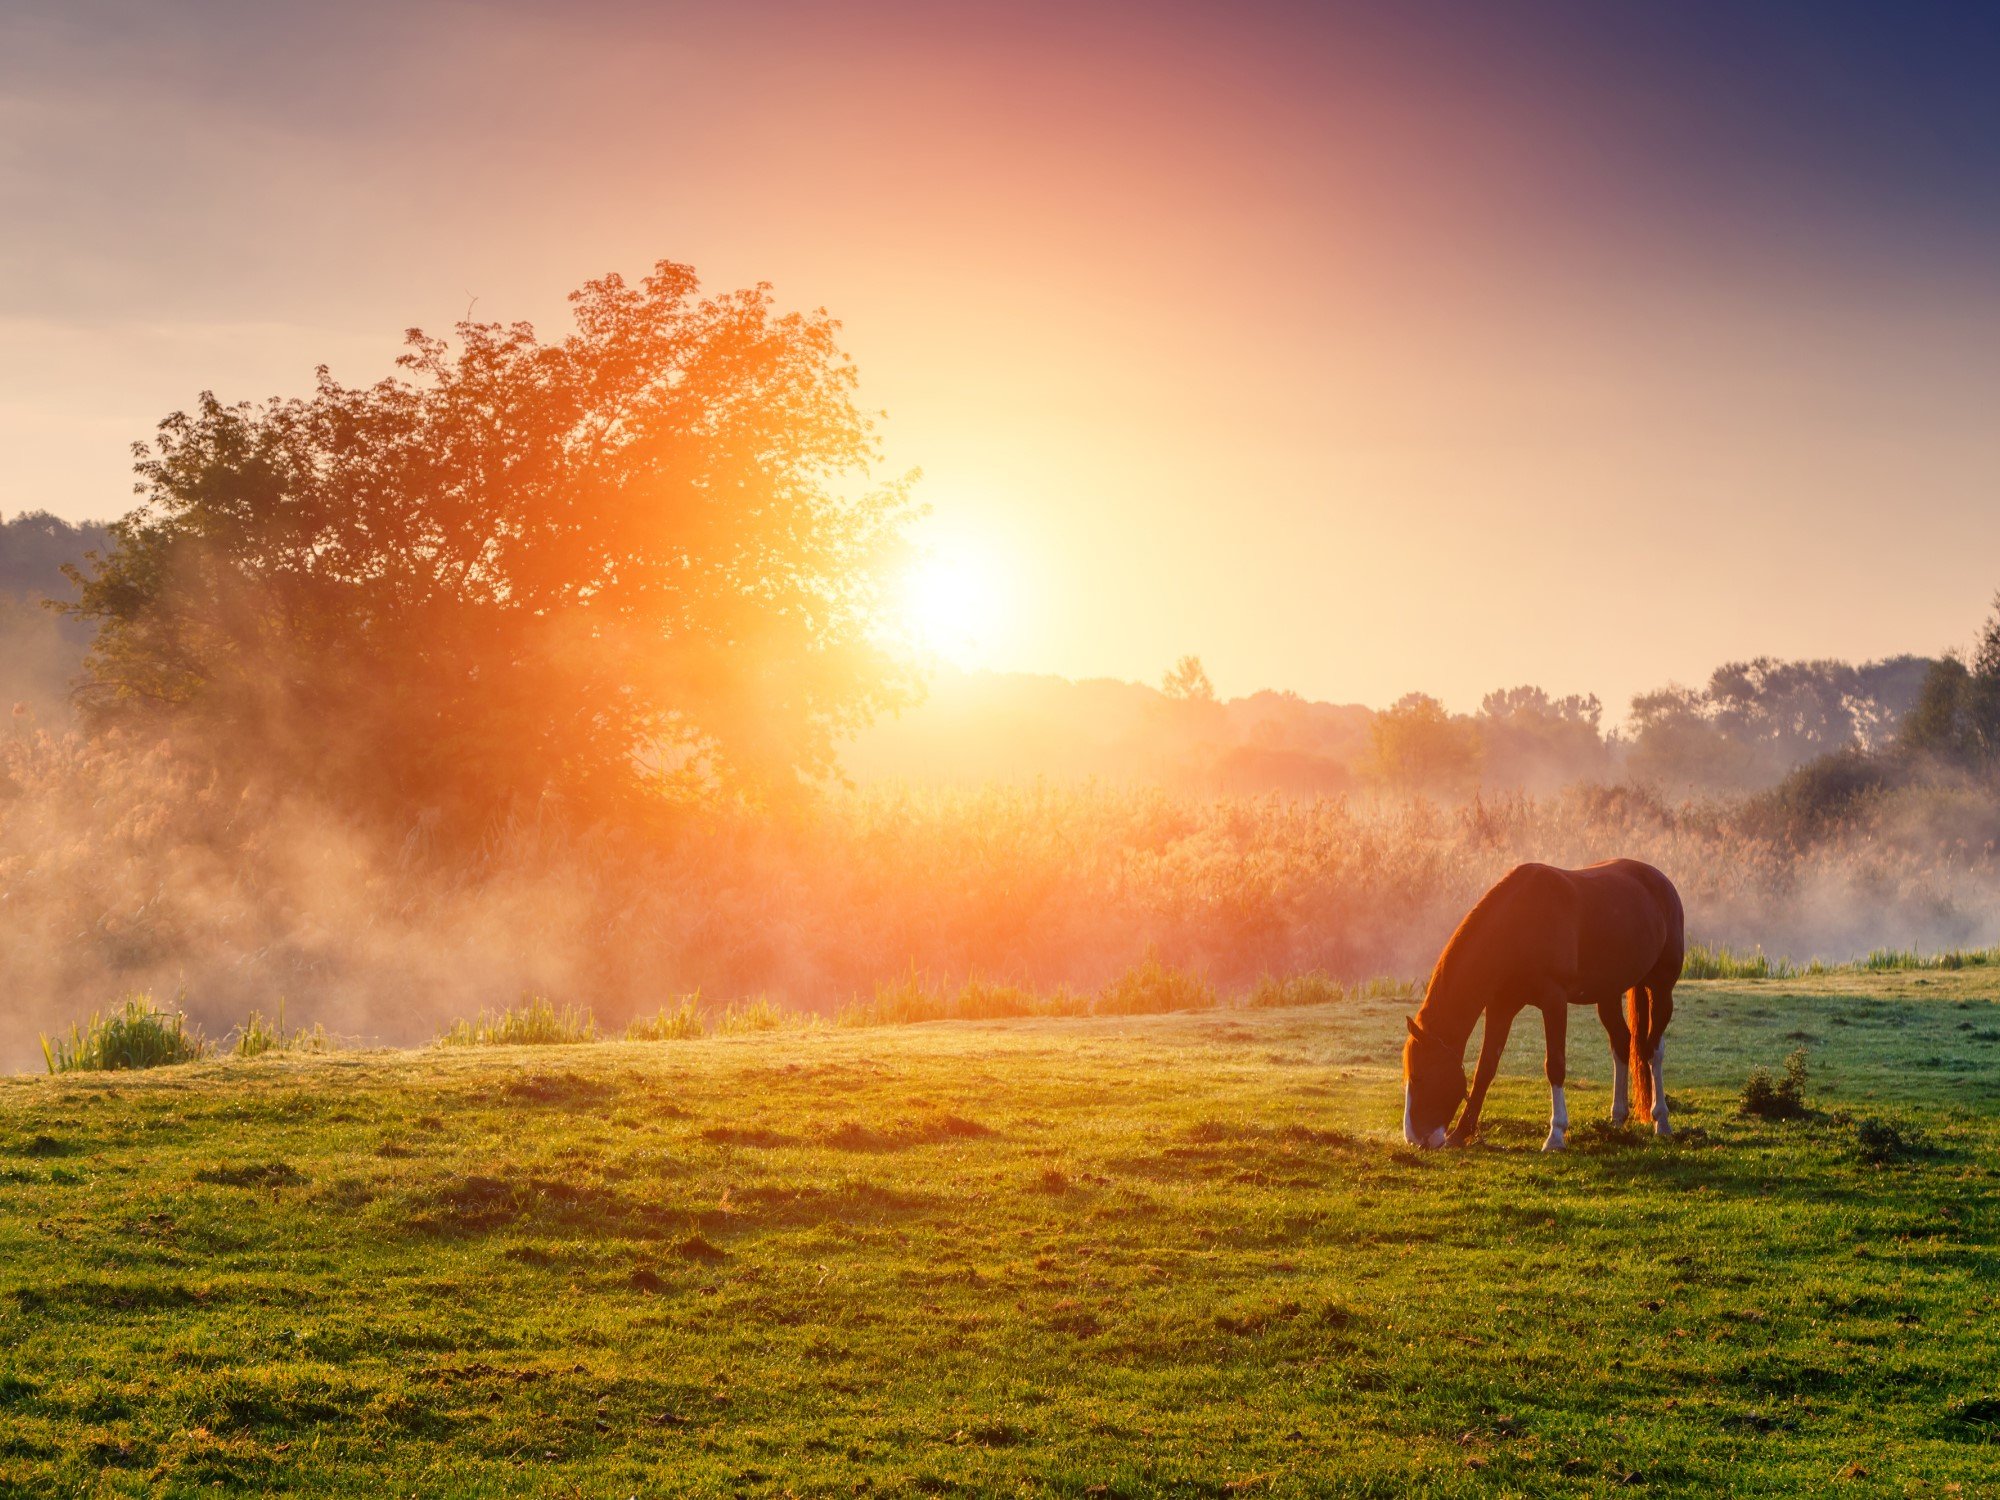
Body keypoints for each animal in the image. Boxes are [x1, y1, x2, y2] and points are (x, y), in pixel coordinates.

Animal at [1401, 859, 1684, 1151]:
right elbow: (1485, 1068)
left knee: (1653, 1050)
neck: (1520, 922)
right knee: (1622, 1042)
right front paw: (1460, 1133)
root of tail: (1660, 881)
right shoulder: (1501, 1007)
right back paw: (1617, 1118)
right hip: (1608, 994)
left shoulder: (1554, 1001)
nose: (1414, 1138)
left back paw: (1661, 1121)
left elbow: (1555, 1064)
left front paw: (1556, 1135)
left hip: (1661, 988)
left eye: (1420, 1076)